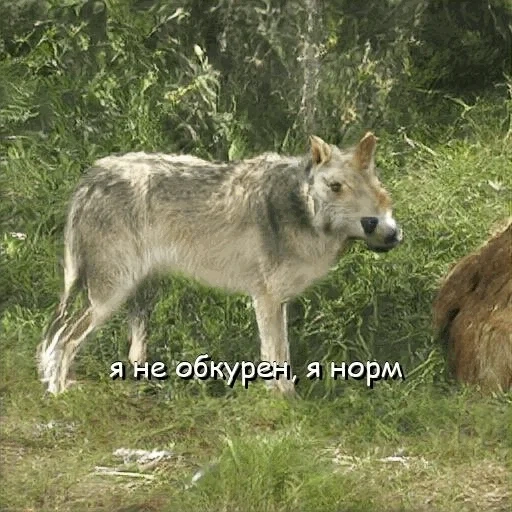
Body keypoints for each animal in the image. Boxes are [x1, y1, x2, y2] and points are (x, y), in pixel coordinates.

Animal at [38, 133, 402, 396]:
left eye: (373, 189)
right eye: (336, 186)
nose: (384, 228)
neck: (300, 209)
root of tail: (90, 177)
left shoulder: (277, 302)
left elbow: (280, 355)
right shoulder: (265, 299)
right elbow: (276, 357)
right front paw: (285, 401)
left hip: (138, 296)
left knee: (120, 350)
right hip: (108, 299)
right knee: (63, 340)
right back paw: (59, 392)